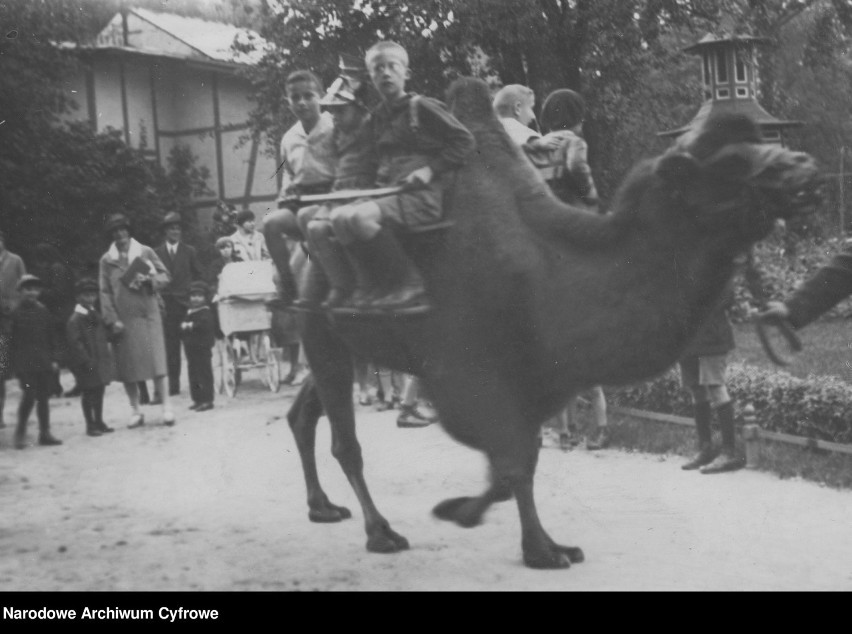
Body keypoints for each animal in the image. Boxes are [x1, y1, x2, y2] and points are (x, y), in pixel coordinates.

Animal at [286, 76, 820, 564]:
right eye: (729, 163)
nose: (803, 167)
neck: (548, 273)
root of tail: (304, 243)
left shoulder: (540, 376)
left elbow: (523, 462)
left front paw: (533, 540)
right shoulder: (464, 375)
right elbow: (510, 465)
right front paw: (486, 524)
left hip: (336, 341)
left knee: (303, 413)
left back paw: (321, 507)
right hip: (321, 333)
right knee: (345, 442)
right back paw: (380, 532)